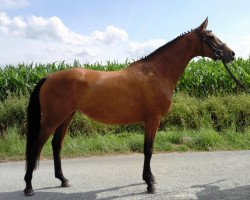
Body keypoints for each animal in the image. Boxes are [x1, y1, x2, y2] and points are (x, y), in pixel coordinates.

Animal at [23, 18, 234, 196]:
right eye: (211, 37)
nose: (231, 54)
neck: (156, 73)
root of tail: (48, 77)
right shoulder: (152, 119)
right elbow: (148, 149)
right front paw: (149, 183)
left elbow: (149, 149)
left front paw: (149, 179)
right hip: (52, 118)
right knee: (36, 146)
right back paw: (28, 187)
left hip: (66, 116)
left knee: (56, 145)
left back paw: (63, 180)